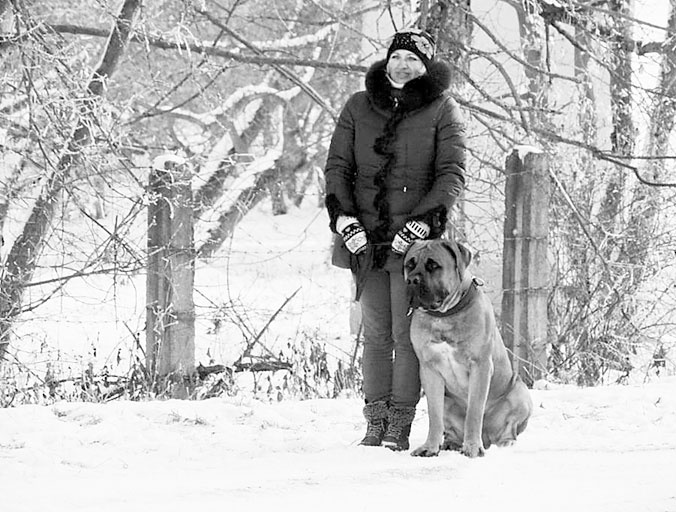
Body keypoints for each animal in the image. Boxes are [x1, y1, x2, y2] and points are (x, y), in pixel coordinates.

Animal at [404, 238, 532, 458]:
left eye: (433, 265)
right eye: (409, 265)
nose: (412, 280)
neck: (445, 315)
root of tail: (489, 438)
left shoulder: (480, 366)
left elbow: (474, 412)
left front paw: (472, 447)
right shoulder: (429, 369)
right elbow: (434, 415)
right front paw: (430, 447)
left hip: (520, 393)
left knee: (510, 428)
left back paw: (505, 442)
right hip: (448, 401)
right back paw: (451, 443)